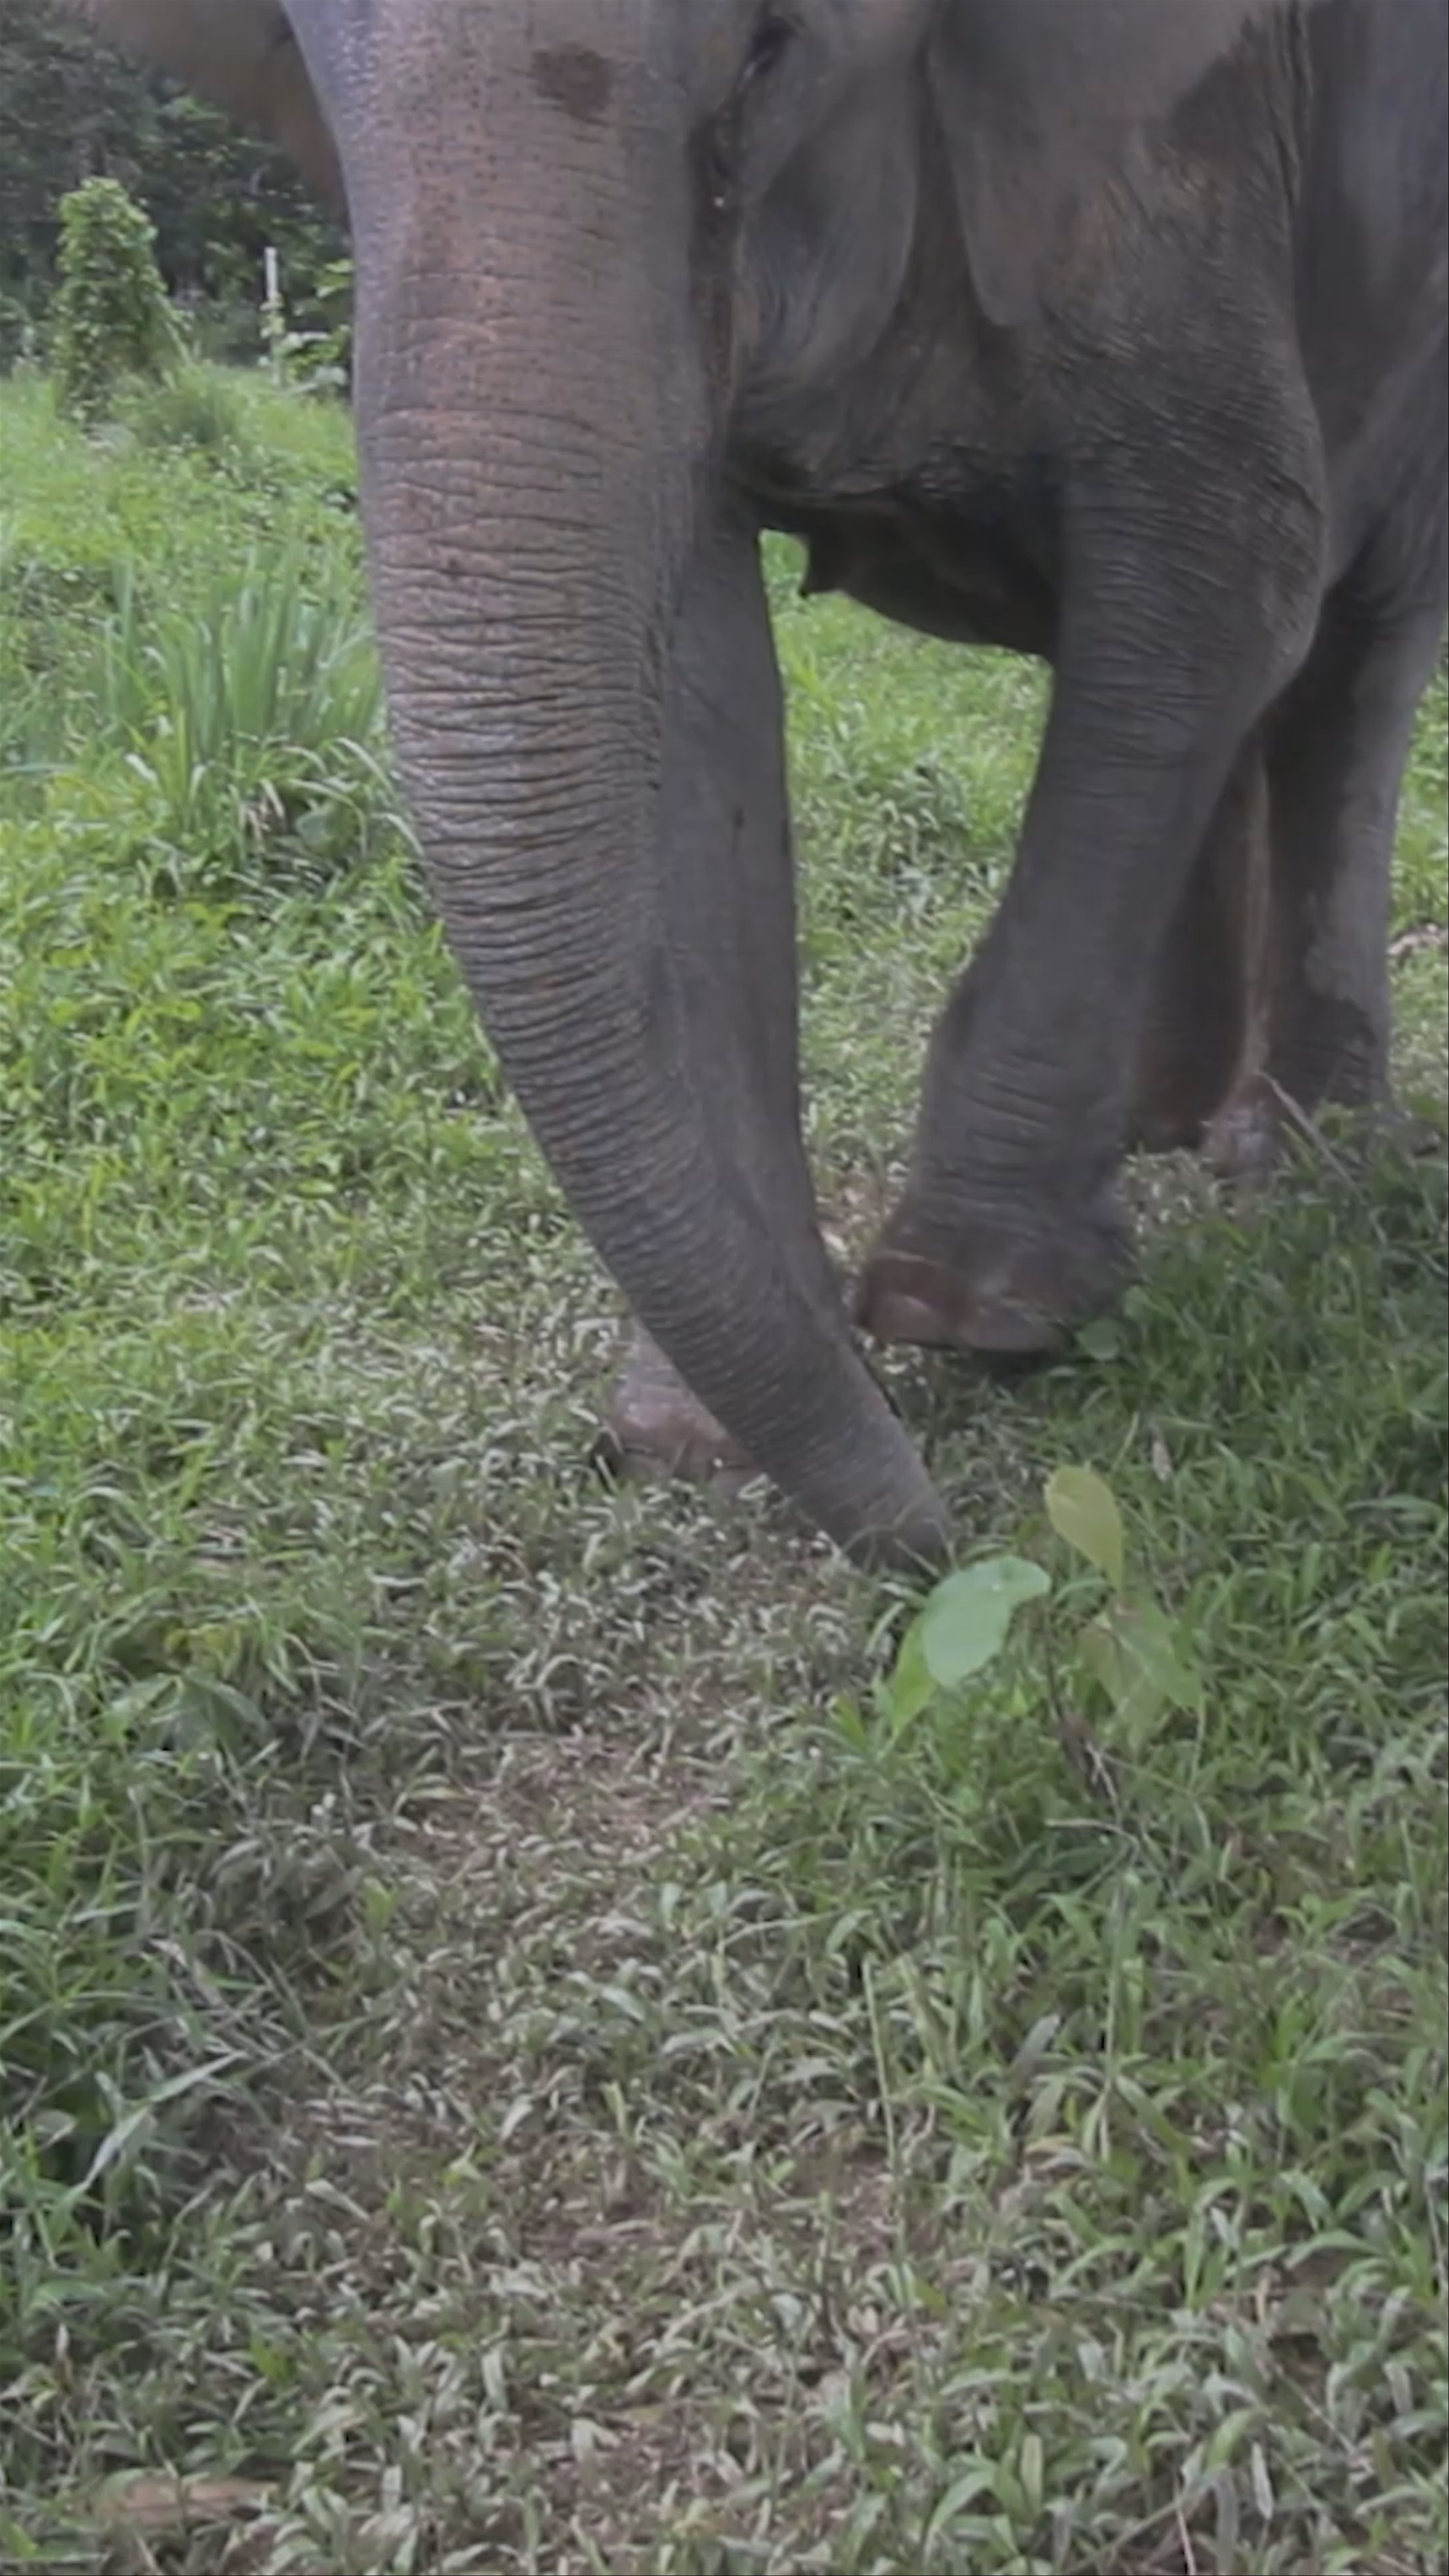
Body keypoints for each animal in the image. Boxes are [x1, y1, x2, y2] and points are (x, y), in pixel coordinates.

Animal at [74, 0, 1448, 1567]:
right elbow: (697, 686)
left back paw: (1311, 1162)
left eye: (767, 56)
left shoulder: (1184, 164)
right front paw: (705, 1435)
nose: (938, 1540)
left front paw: (977, 1318)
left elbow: (1218, 581)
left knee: (1352, 646)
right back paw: (1167, 1128)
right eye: (305, 82)